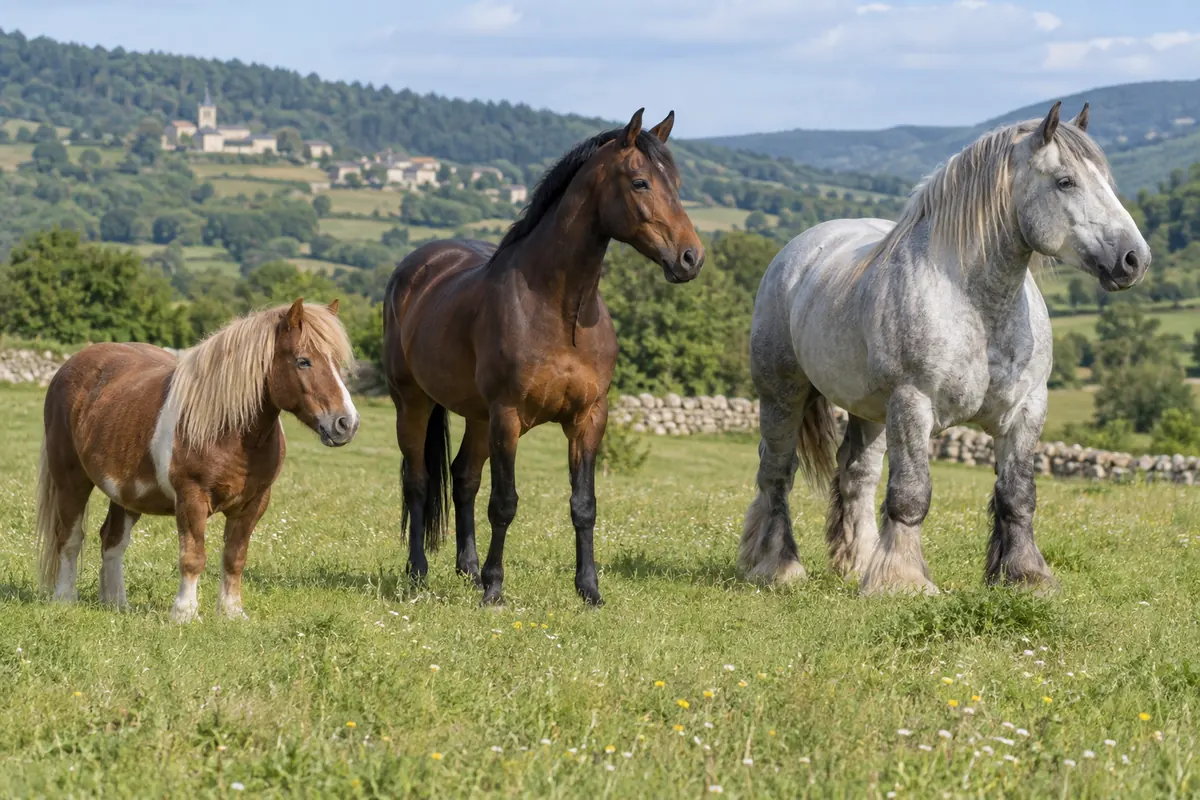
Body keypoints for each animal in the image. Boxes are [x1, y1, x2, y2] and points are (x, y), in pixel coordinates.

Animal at [36, 299, 358, 621]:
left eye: (338, 363)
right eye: (303, 361)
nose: (347, 423)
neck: (228, 428)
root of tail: (71, 365)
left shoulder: (253, 503)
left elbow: (234, 558)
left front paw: (232, 612)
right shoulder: (192, 497)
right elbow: (193, 557)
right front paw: (184, 613)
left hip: (126, 492)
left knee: (112, 540)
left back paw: (116, 603)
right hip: (71, 480)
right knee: (70, 537)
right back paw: (65, 598)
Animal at [382, 108, 705, 606]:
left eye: (676, 182)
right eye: (640, 182)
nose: (691, 257)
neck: (560, 310)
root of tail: (413, 269)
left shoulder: (588, 418)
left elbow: (583, 505)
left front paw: (589, 590)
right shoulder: (509, 416)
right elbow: (505, 503)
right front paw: (495, 590)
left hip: (477, 417)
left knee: (463, 479)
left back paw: (468, 569)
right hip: (414, 403)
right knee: (418, 482)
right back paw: (419, 571)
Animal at [740, 102, 1151, 595]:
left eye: (1106, 181)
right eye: (1065, 181)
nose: (1134, 259)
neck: (979, 308)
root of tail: (798, 251)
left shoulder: (1026, 410)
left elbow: (1018, 496)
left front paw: (1025, 575)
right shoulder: (913, 405)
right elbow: (910, 495)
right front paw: (902, 581)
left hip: (870, 411)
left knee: (856, 477)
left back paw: (858, 565)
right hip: (783, 394)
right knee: (776, 473)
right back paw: (777, 567)